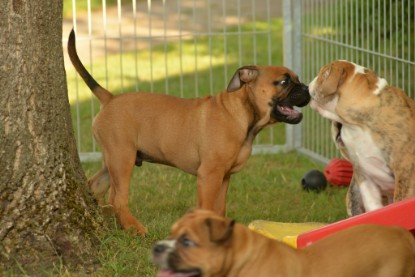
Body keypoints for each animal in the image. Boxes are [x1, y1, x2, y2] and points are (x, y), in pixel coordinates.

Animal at [66, 29, 310, 233]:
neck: (243, 115)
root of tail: (110, 98)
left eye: (297, 79)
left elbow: (219, 209)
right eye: (284, 81)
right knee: (117, 198)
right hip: (122, 158)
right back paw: (134, 228)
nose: (307, 89)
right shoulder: (209, 176)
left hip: (114, 160)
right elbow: (207, 207)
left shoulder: (223, 177)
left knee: (95, 186)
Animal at [310, 59, 415, 216]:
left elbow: (400, 201)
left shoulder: (405, 171)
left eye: (323, 73)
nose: (309, 83)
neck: (357, 126)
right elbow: (373, 206)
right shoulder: (364, 175)